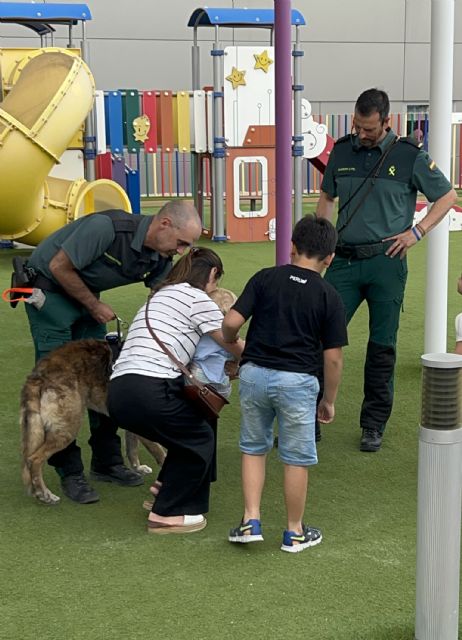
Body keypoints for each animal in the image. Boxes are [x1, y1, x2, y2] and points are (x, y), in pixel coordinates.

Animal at [22, 338, 166, 508]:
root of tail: (39, 373)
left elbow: (132, 448)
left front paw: (138, 468)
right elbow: (162, 454)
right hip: (68, 428)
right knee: (34, 460)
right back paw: (45, 494)